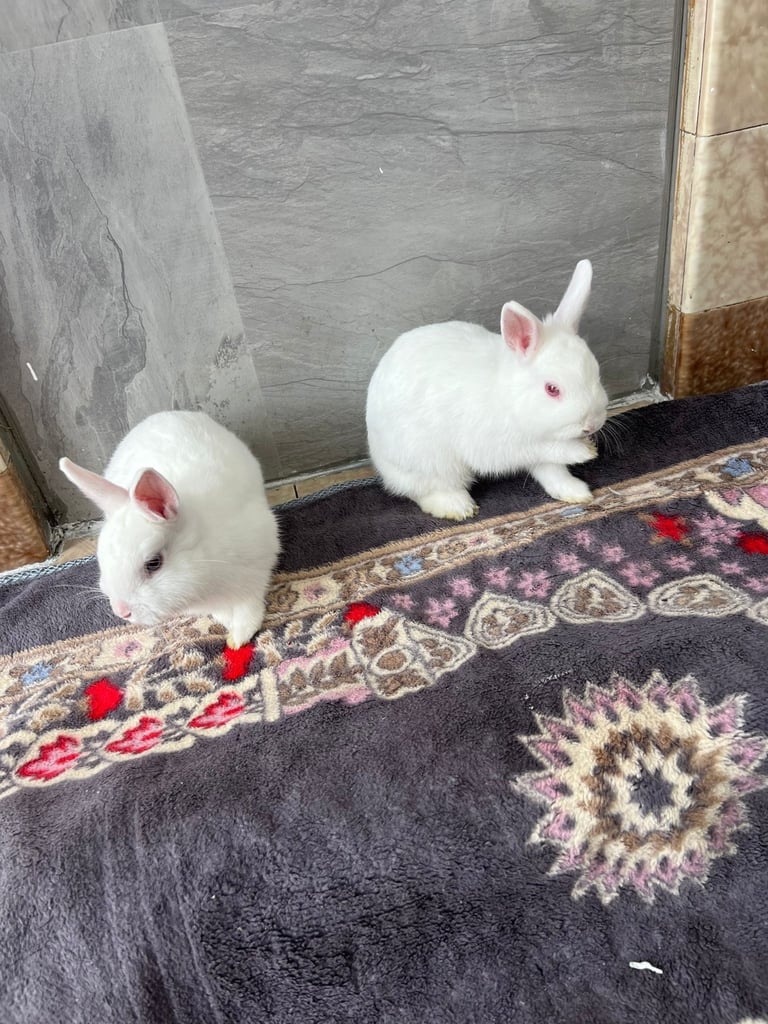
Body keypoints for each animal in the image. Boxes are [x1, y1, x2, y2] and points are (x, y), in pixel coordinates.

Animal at [59, 410, 280, 649]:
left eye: (153, 563)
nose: (122, 611)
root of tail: (163, 414)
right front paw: (227, 622)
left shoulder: (256, 568)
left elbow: (248, 607)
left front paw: (238, 638)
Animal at [365, 259, 608, 520]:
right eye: (552, 389)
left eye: (597, 373)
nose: (592, 425)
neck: (511, 398)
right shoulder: (503, 446)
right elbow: (550, 450)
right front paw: (584, 451)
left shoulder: (539, 451)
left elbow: (553, 470)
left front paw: (576, 490)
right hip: (430, 463)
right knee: (426, 490)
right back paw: (458, 507)